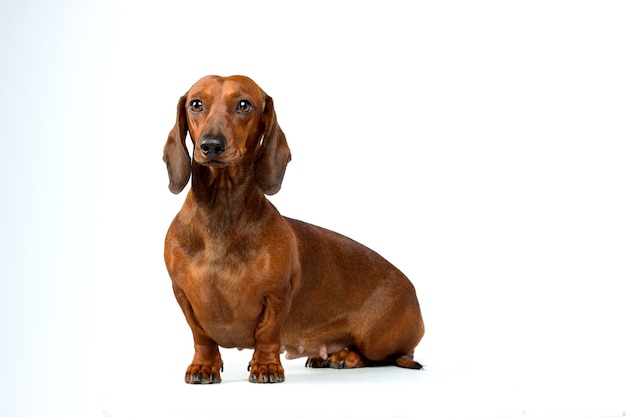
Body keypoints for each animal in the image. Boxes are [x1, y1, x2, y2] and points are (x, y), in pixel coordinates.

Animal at [162, 75, 424, 384]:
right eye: (196, 104)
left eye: (243, 105)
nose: (211, 145)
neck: (220, 214)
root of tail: (413, 292)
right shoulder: (183, 295)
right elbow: (201, 336)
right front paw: (204, 366)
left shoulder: (277, 296)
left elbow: (267, 334)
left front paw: (266, 366)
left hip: (376, 339)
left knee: (388, 356)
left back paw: (346, 357)